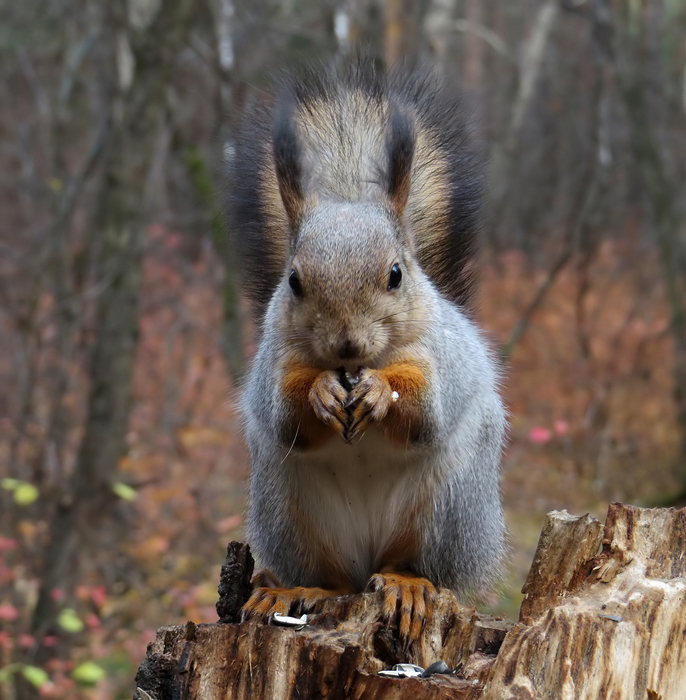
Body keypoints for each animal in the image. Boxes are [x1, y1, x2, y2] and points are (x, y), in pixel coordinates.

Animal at [228, 65, 508, 644]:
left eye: (396, 274)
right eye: (293, 281)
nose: (347, 344)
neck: (355, 366)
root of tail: (366, 568)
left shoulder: (440, 356)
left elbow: (426, 410)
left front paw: (381, 390)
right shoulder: (273, 362)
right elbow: (284, 414)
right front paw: (320, 392)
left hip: (447, 509)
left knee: (413, 563)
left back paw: (407, 584)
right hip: (292, 514)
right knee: (332, 578)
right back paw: (296, 590)